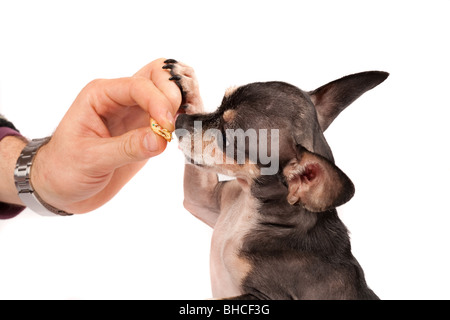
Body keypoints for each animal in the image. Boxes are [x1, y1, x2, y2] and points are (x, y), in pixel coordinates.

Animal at [163, 58, 388, 300]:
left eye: (228, 139)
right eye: (220, 106)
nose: (180, 121)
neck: (250, 203)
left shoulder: (265, 297)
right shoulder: (201, 199)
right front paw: (187, 81)